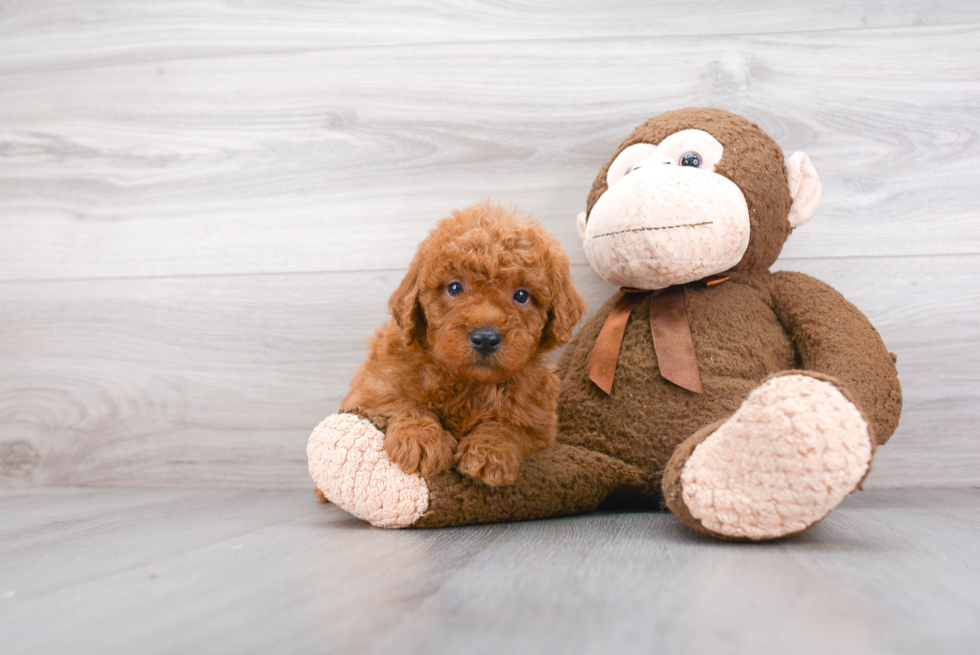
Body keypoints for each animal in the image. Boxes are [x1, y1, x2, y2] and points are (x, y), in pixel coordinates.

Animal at [342, 201, 584, 486]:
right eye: (455, 288)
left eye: (522, 295)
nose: (486, 339)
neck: (468, 384)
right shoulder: (368, 392)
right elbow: (403, 403)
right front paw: (420, 439)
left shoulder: (540, 429)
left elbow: (507, 426)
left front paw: (490, 452)